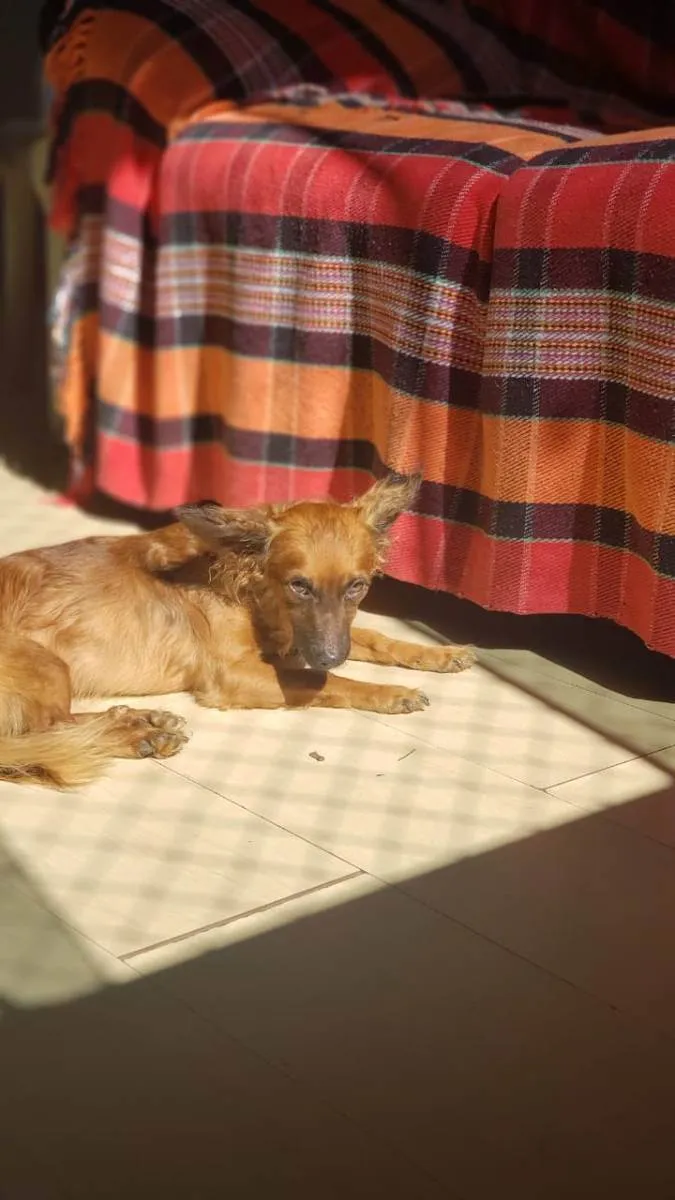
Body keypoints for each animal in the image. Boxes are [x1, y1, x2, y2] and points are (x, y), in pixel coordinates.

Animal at [0, 477, 473, 787]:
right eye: (299, 585)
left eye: (357, 586)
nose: (330, 656)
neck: (249, 582)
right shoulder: (232, 675)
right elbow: (323, 683)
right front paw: (390, 693)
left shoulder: (312, 636)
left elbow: (374, 638)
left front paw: (440, 653)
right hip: (45, 663)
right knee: (48, 730)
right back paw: (135, 734)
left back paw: (141, 721)